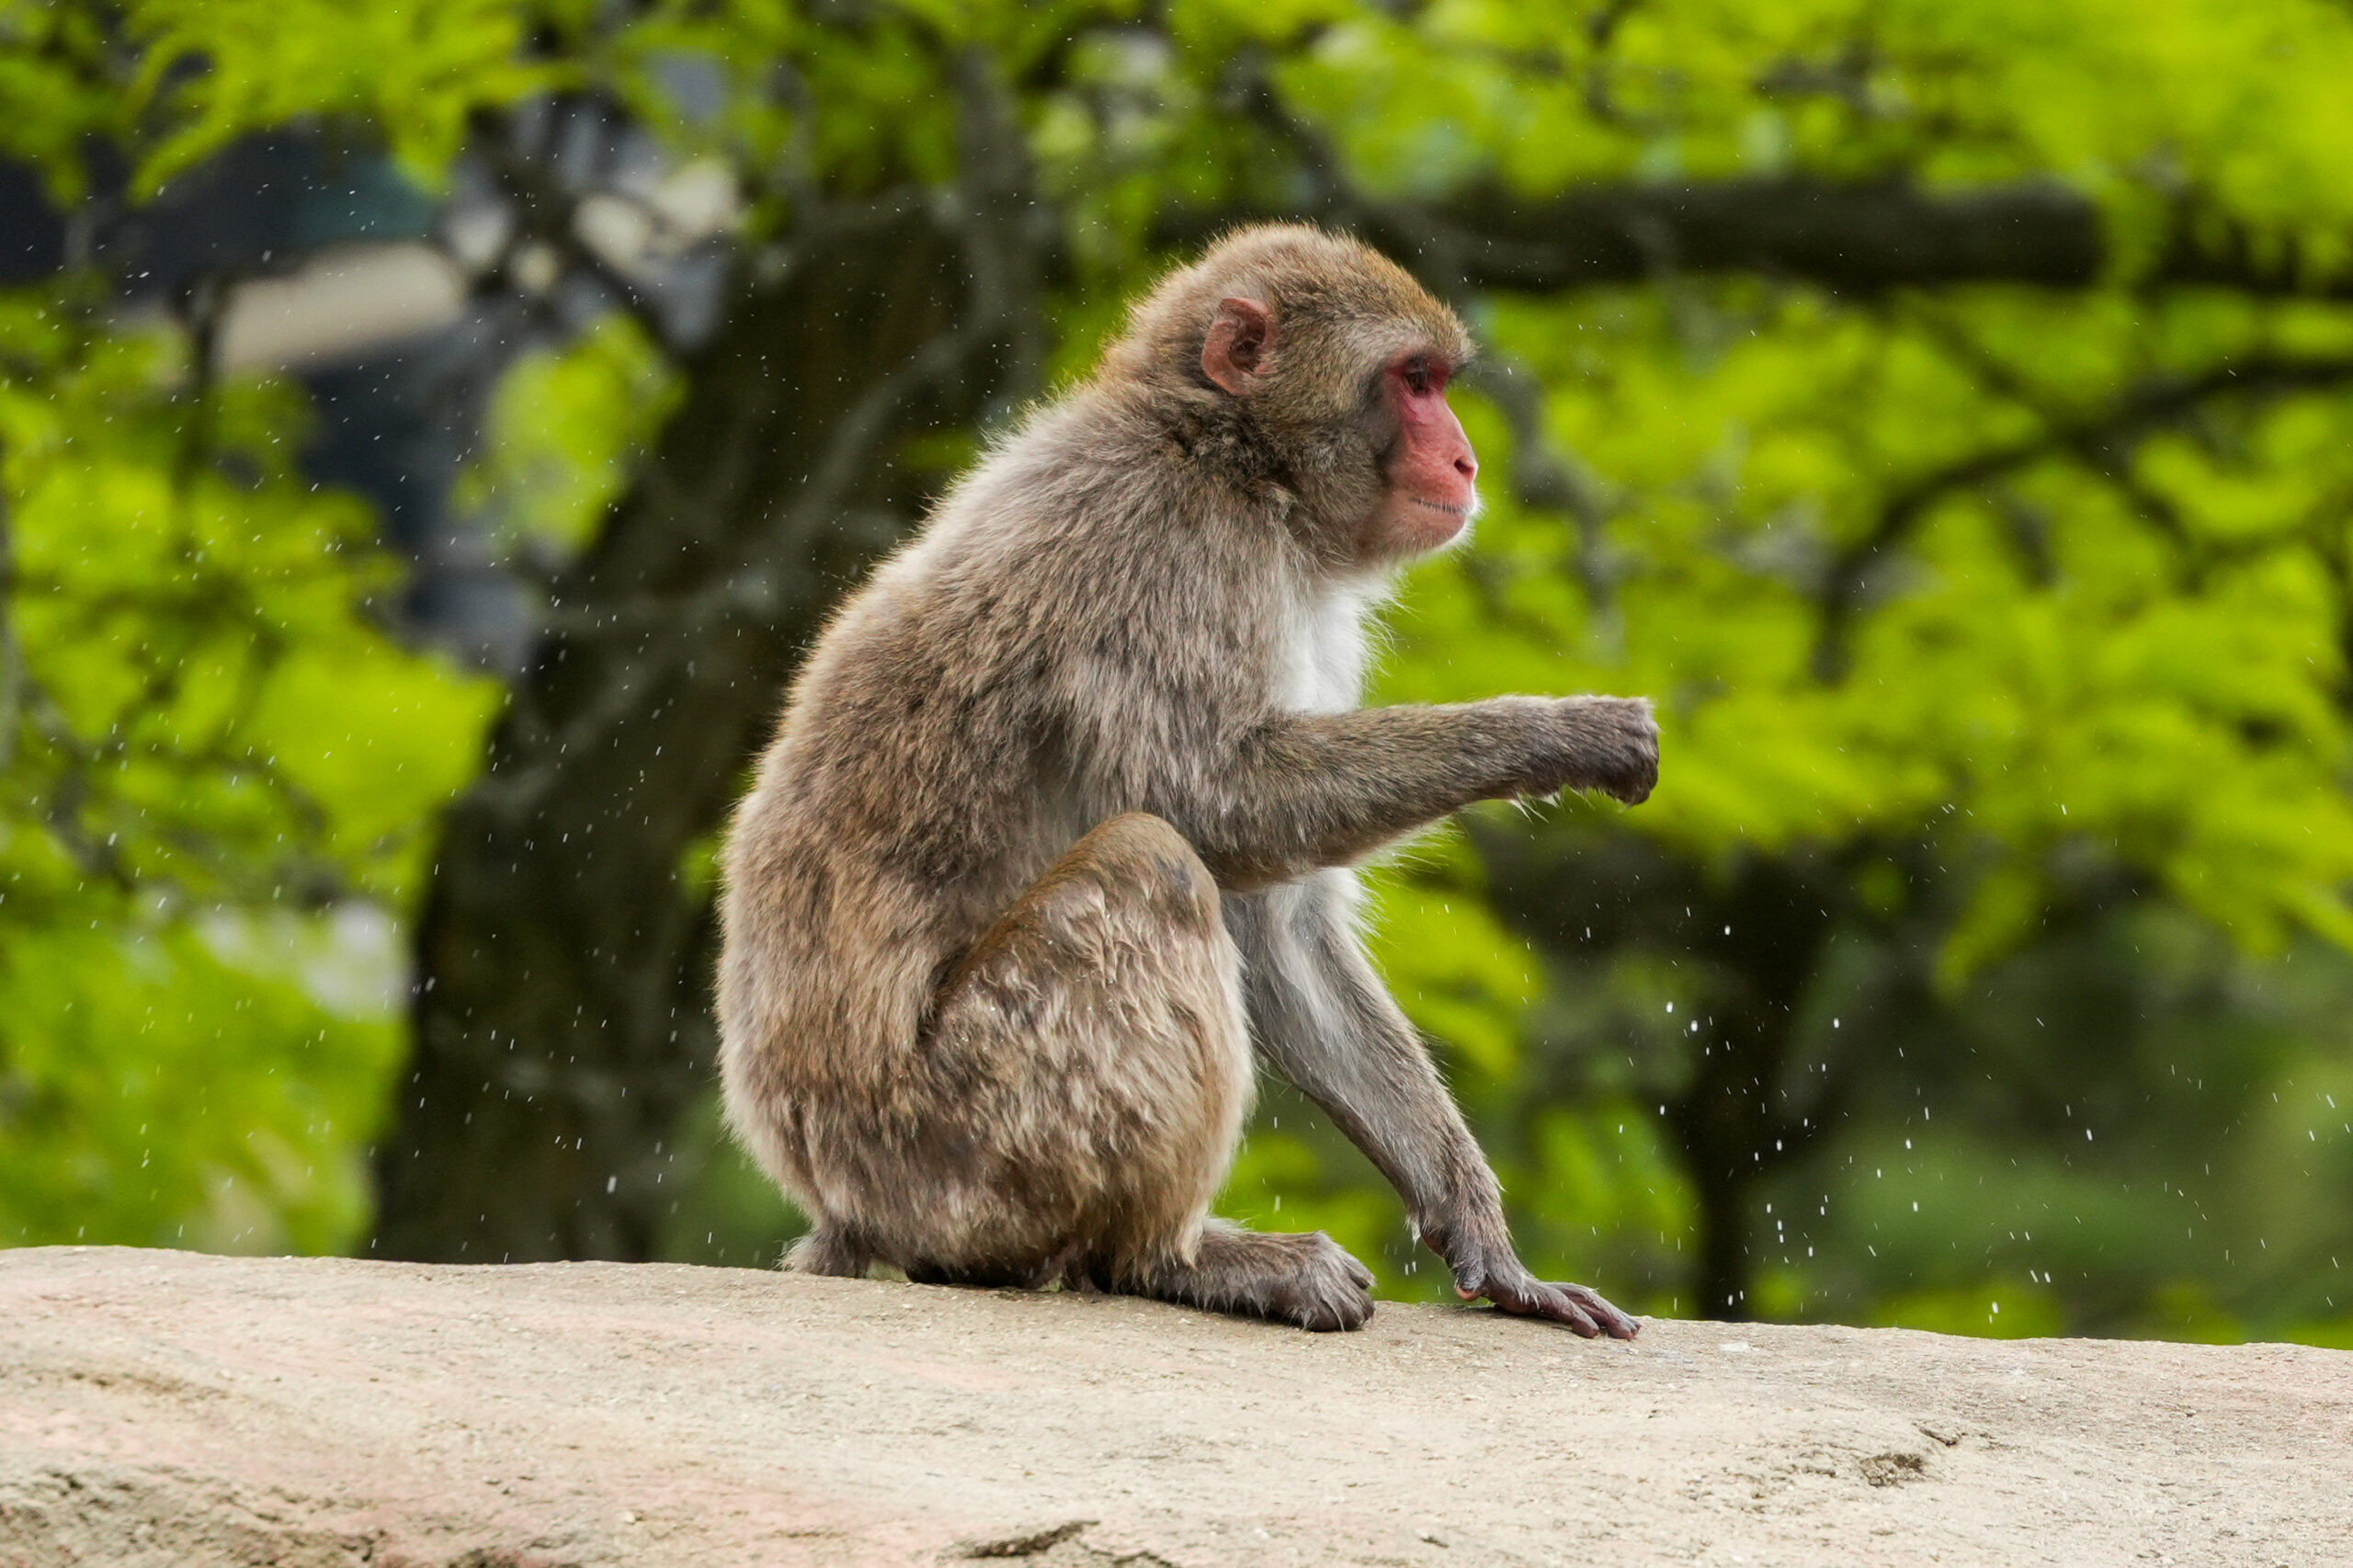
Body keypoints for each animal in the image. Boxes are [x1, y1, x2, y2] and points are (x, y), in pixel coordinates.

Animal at [716, 224, 1657, 1336]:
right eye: (1412, 381)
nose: (1466, 456)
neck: (1238, 462)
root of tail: (835, 1196)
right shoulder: (1165, 546)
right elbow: (1217, 802)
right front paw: (1558, 732)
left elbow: (1277, 923)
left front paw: (1488, 1243)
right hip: (959, 1140)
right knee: (1148, 864)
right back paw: (1169, 1257)